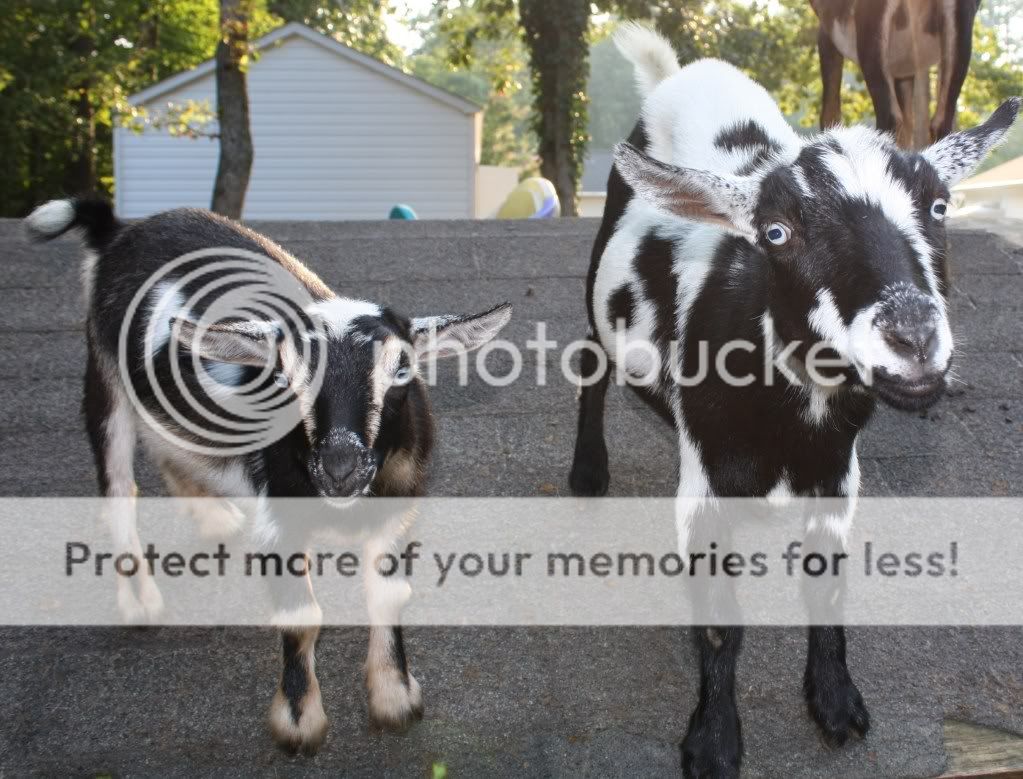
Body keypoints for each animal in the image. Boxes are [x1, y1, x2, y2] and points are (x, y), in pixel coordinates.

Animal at [25, 199, 511, 755]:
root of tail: (120, 232)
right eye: (284, 376)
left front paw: (395, 699)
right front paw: (299, 723)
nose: (340, 468)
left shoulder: (397, 508)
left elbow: (390, 595)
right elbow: (302, 616)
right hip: (104, 377)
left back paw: (214, 518)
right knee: (119, 484)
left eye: (403, 371)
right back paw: (139, 602)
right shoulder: (279, 515)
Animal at [569, 24, 1018, 777]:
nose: (913, 336)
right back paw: (586, 471)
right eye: (776, 233)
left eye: (938, 206)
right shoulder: (705, 483)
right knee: (588, 355)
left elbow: (825, 584)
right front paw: (713, 742)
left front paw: (834, 701)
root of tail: (683, 72)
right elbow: (720, 626)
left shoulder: (838, 476)